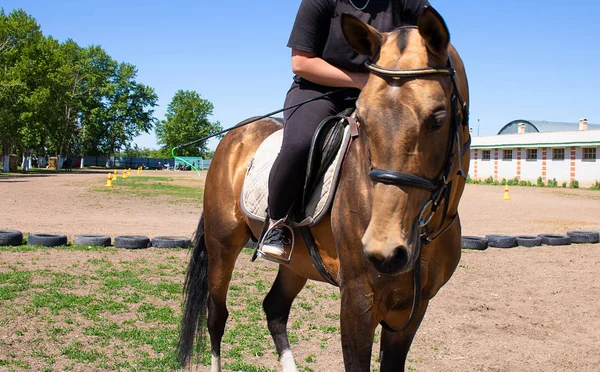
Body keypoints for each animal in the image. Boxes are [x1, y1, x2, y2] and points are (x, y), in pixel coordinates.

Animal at [178, 6, 468, 372]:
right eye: (363, 119)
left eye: (438, 118)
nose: (385, 250)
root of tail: (233, 138)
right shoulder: (357, 302)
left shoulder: (413, 311)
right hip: (222, 245)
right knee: (216, 315)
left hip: (297, 263)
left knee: (274, 308)